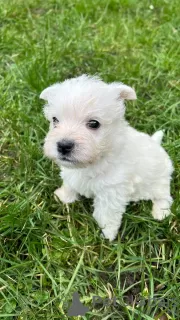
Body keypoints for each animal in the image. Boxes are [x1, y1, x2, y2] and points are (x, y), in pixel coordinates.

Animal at [40, 74, 173, 240]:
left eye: (94, 123)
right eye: (55, 120)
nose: (63, 146)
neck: (94, 161)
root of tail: (157, 143)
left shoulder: (111, 191)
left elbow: (106, 213)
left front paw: (108, 233)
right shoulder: (71, 173)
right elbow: (69, 184)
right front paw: (63, 196)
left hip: (160, 182)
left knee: (165, 197)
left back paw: (160, 213)